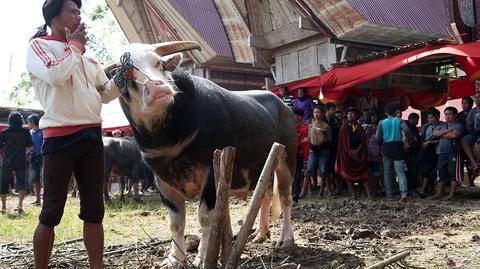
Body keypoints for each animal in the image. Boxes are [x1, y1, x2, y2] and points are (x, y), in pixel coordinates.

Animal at [108, 42, 296, 266]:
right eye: (125, 74)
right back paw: (260, 233)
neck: (169, 139)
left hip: (287, 159)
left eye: (159, 64)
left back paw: (286, 239)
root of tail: (284, 106)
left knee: (285, 198)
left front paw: (202, 256)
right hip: (262, 164)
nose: (158, 88)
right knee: (264, 195)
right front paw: (174, 258)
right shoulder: (161, 181)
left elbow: (206, 218)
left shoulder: (212, 174)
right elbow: (175, 223)